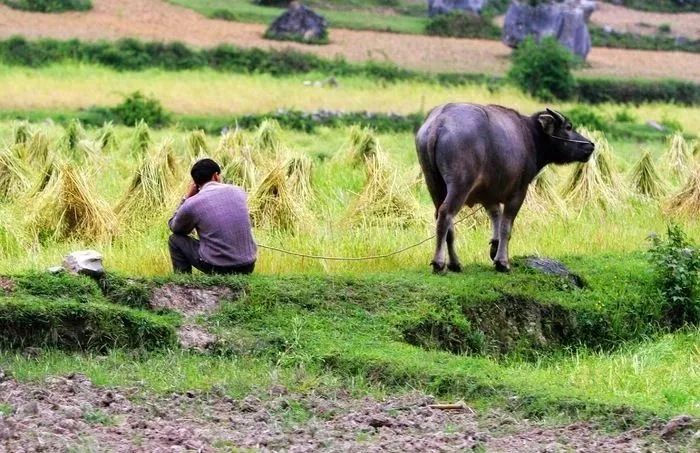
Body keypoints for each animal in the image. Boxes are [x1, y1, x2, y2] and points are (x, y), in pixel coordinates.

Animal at [418, 103, 592, 272]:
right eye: (568, 127)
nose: (590, 146)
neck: (530, 136)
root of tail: (438, 123)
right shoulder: (518, 193)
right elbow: (506, 227)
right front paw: (502, 262)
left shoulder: (488, 195)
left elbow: (496, 216)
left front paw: (494, 247)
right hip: (459, 185)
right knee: (446, 214)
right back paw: (440, 263)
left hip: (433, 184)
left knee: (443, 219)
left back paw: (455, 263)